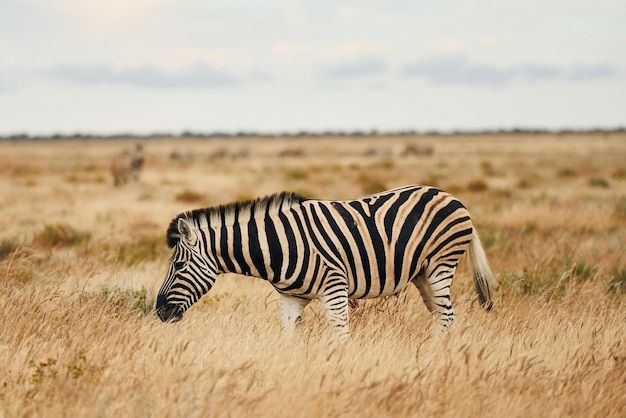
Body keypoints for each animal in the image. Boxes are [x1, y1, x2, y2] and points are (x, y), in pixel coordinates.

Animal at [155, 185, 492, 338]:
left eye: (179, 266)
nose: (159, 312)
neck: (276, 246)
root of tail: (449, 195)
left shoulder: (335, 287)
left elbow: (341, 336)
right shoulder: (290, 298)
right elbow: (288, 337)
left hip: (440, 264)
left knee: (447, 315)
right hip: (422, 273)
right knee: (440, 315)